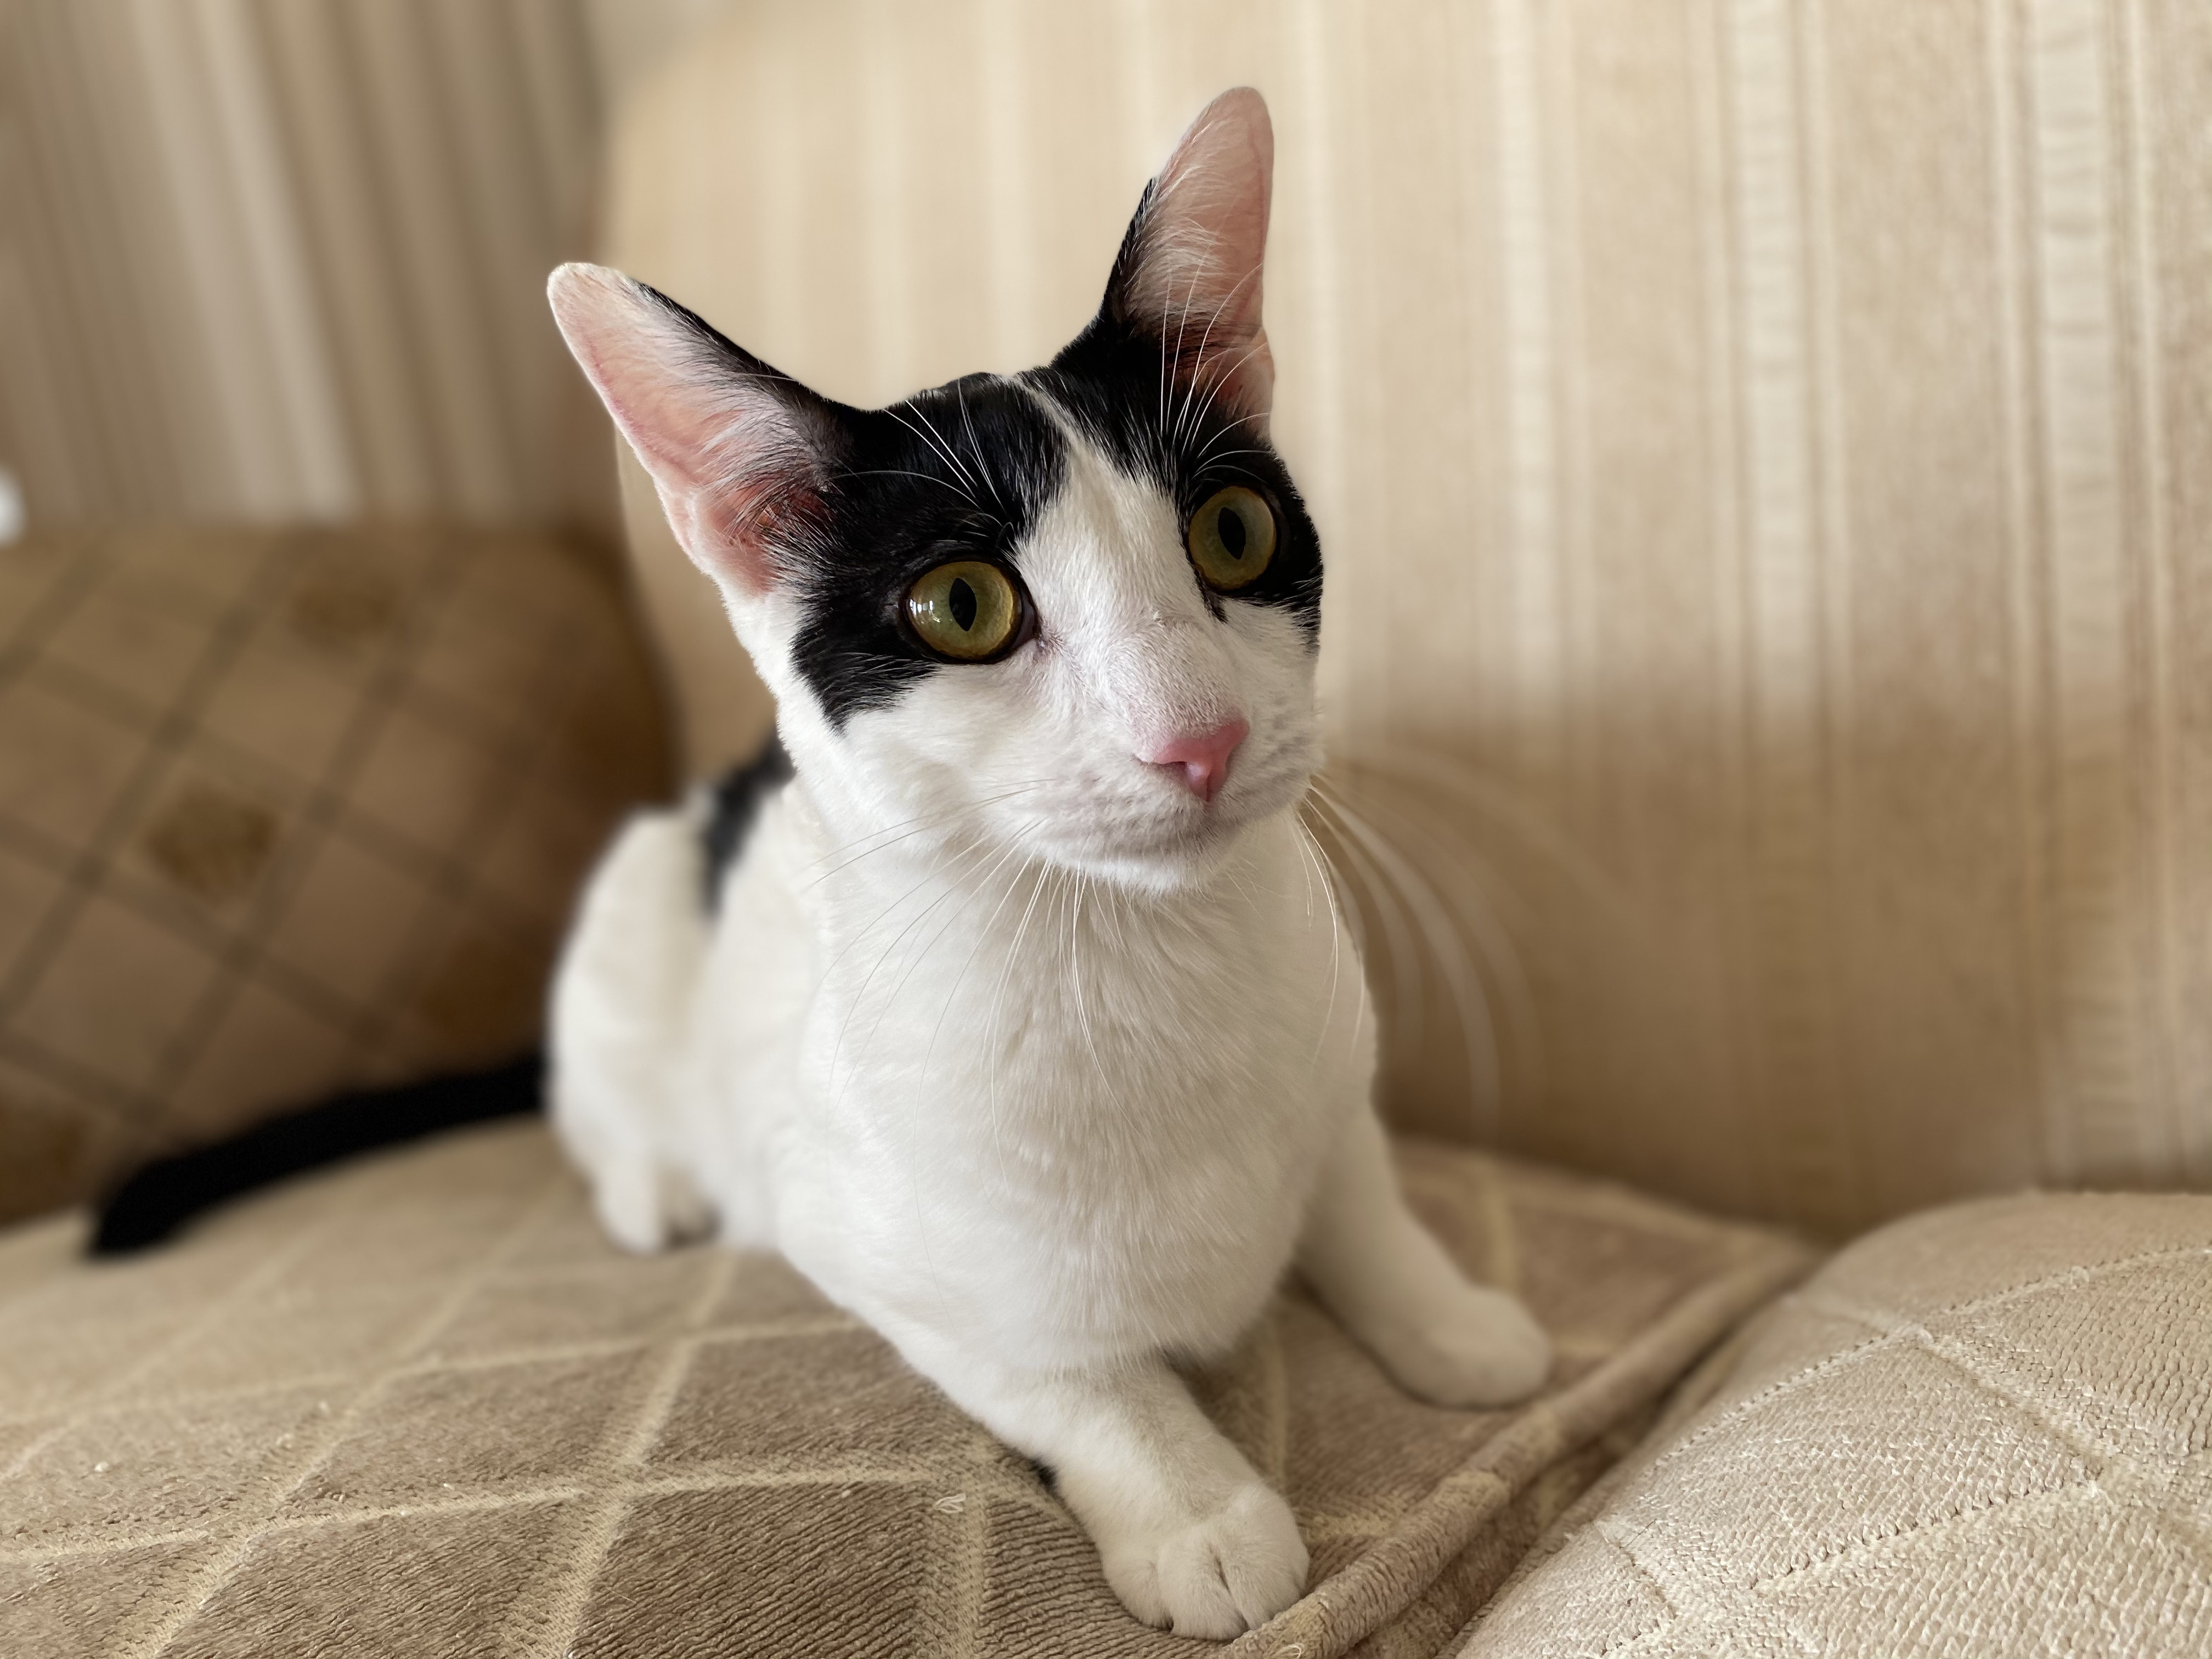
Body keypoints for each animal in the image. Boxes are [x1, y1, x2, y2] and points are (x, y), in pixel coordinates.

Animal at [548, 88, 1557, 1637]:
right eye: (962, 606)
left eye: (1233, 530)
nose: (1199, 738)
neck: (1139, 963)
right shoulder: (850, 1231)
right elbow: (1052, 1366)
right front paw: (1196, 1505)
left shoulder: (1335, 1062)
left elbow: (1359, 1184)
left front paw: (1448, 1318)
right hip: (628, 923)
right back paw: (655, 1189)